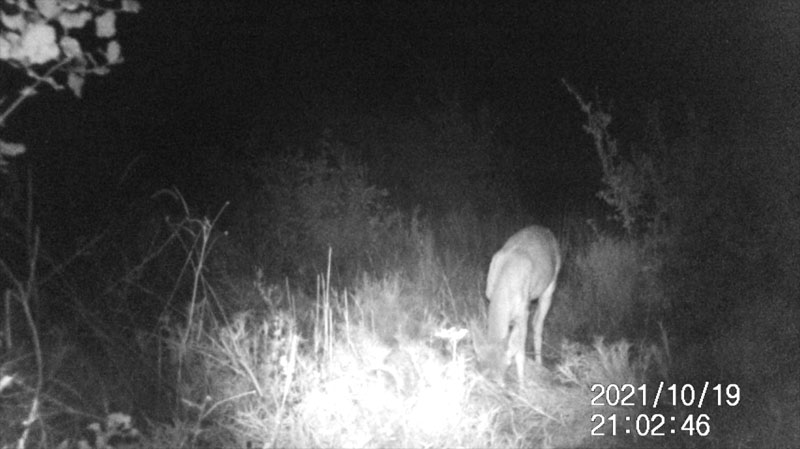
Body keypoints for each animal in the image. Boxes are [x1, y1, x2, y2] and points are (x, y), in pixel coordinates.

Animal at [472, 226, 560, 384]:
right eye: (480, 367)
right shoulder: (490, 296)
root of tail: (545, 230)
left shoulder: (523, 312)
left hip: (550, 286)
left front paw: (521, 383)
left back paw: (539, 363)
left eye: (499, 378)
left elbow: (520, 351)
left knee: (538, 323)